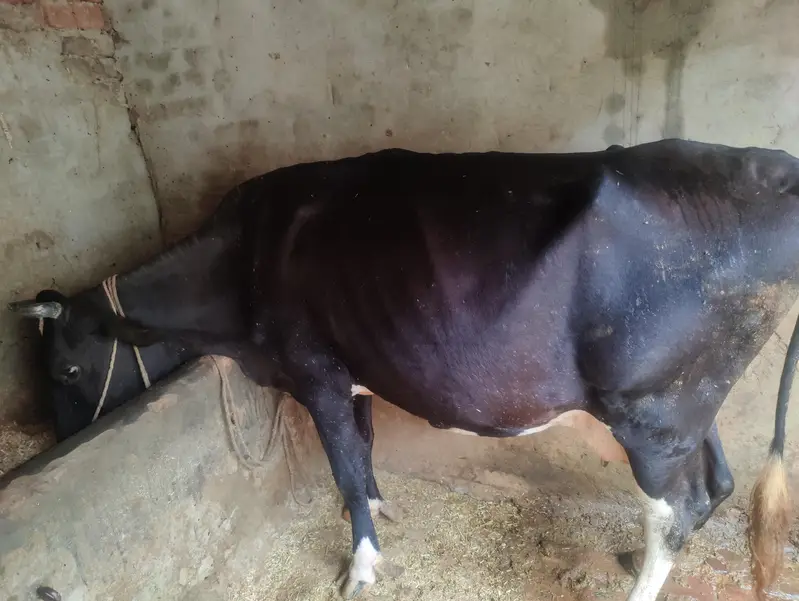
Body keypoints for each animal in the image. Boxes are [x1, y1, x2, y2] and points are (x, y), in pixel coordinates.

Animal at [8, 139, 799, 601]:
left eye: (68, 369)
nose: (58, 440)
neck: (240, 262)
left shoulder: (315, 372)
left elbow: (343, 466)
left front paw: (361, 563)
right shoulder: (351, 371)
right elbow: (362, 450)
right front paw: (383, 509)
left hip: (650, 409)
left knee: (679, 506)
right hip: (690, 399)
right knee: (715, 485)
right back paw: (632, 555)